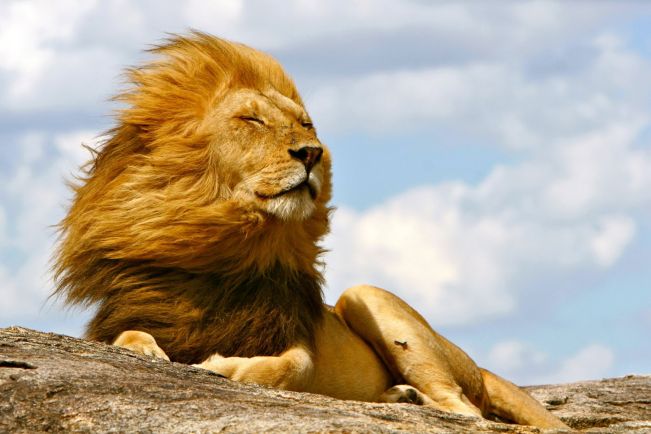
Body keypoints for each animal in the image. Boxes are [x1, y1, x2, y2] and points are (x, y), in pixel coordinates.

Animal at [53, 32, 568, 428]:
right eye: (252, 119)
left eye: (306, 124)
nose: (312, 152)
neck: (225, 250)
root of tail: (475, 363)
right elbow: (127, 338)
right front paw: (149, 353)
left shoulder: (298, 341)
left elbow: (289, 367)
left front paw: (223, 367)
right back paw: (397, 397)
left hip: (369, 299)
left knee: (465, 410)